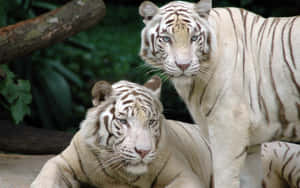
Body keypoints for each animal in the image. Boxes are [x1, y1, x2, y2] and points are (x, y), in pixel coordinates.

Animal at [31, 76, 213, 188]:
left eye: (151, 122)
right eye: (124, 121)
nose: (143, 151)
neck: (120, 174)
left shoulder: (184, 175)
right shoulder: (61, 162)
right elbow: (46, 178)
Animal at [138, 0, 300, 187]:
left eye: (194, 38)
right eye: (166, 39)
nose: (183, 65)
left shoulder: (228, 129)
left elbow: (224, 177)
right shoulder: (252, 144)